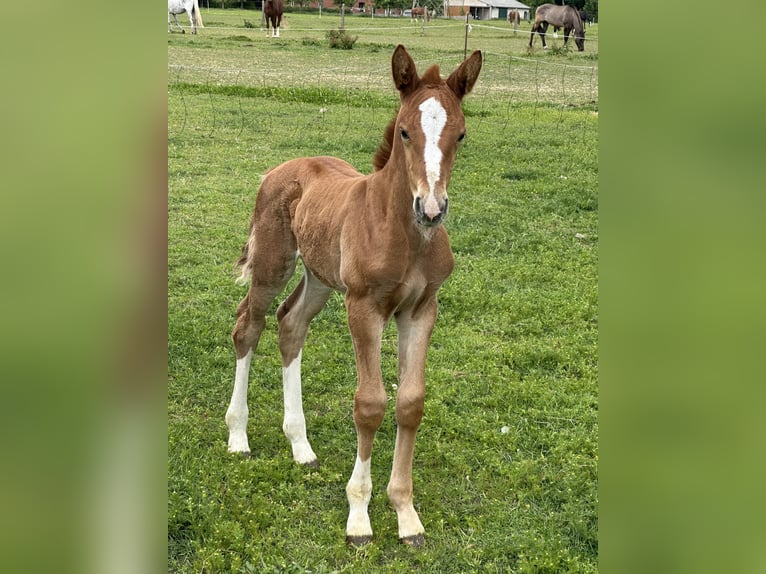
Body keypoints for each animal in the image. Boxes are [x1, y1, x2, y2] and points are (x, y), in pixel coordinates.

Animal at [225, 44, 482, 547]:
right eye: (404, 131)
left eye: (460, 134)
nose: (432, 209)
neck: (405, 235)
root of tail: (279, 169)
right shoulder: (364, 307)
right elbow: (370, 404)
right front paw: (359, 516)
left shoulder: (421, 310)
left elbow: (409, 403)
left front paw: (406, 514)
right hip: (273, 265)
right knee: (249, 326)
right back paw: (238, 437)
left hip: (320, 278)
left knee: (290, 324)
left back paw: (300, 445)